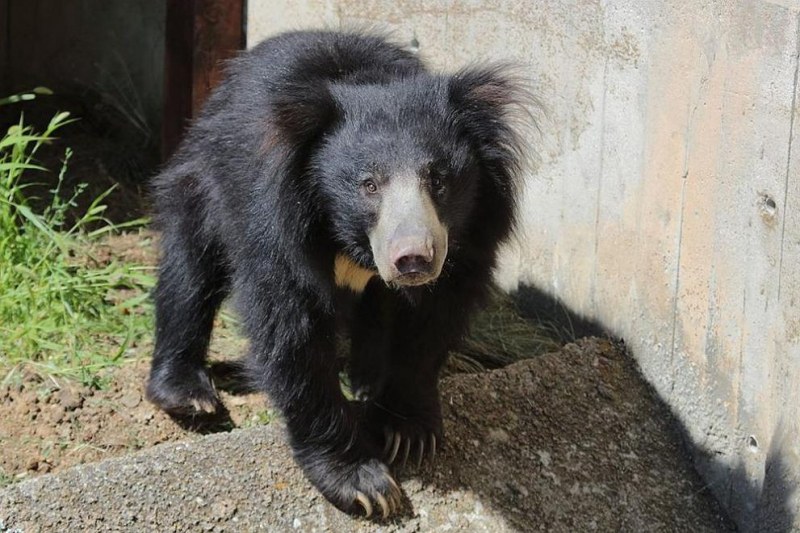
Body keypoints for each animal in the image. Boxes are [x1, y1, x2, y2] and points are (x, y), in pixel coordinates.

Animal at [147, 30, 528, 520]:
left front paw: (408, 432)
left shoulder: (471, 239)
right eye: (369, 184)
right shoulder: (274, 225)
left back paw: (365, 378)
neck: (352, 244)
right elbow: (293, 335)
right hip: (200, 180)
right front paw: (364, 483)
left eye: (439, 181)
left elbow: (431, 323)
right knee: (189, 270)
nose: (414, 259)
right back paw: (188, 395)